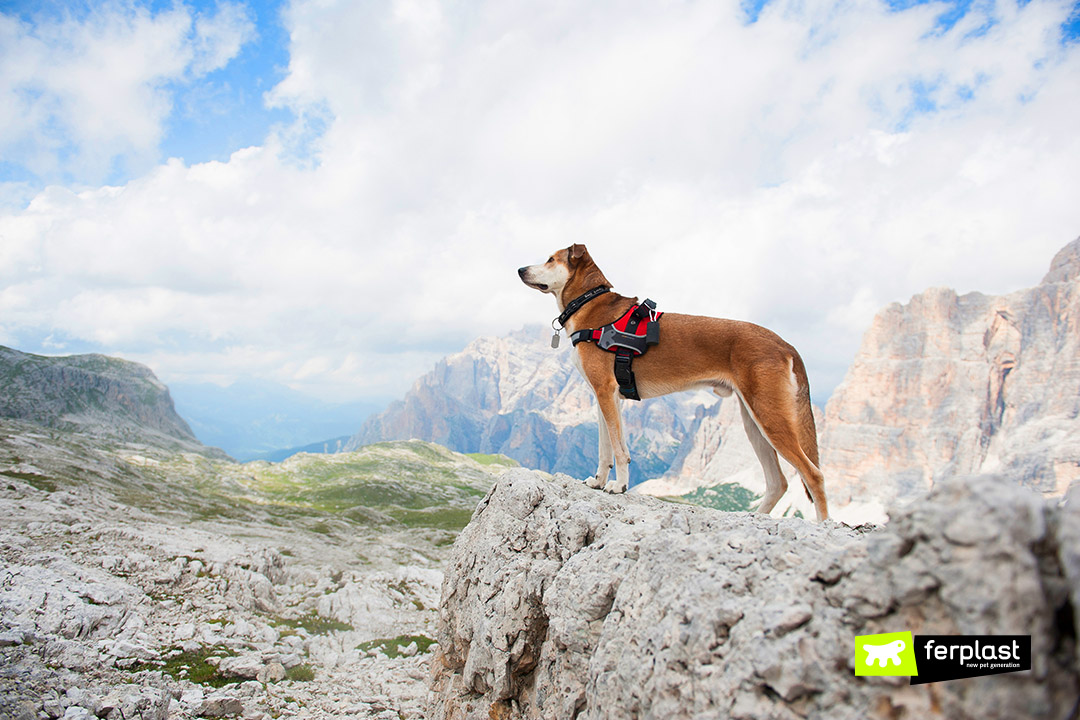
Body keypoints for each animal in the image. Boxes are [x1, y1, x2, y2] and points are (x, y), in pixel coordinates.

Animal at [518, 245, 829, 520]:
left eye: (550, 259)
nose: (520, 269)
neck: (590, 304)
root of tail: (785, 344)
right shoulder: (604, 396)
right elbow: (605, 447)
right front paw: (598, 481)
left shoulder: (605, 391)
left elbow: (618, 449)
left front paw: (619, 485)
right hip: (753, 422)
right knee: (778, 482)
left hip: (770, 416)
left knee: (813, 475)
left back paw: (823, 524)